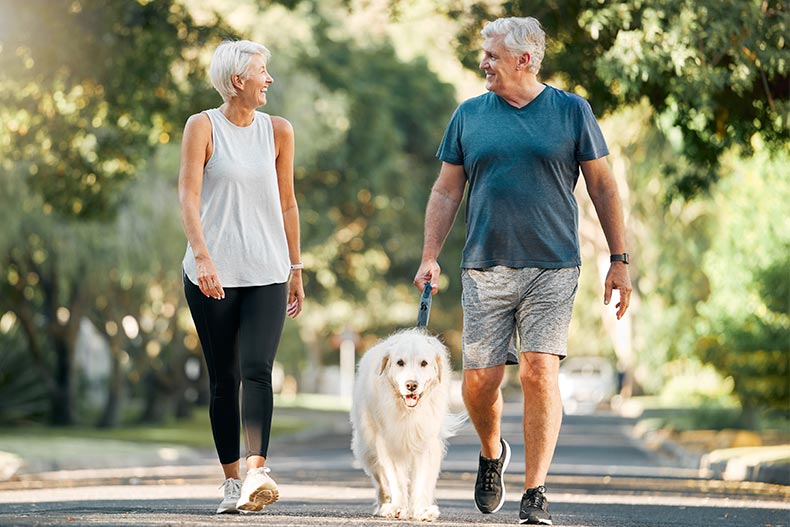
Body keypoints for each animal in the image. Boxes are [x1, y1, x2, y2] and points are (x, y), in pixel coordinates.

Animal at [352, 328, 464, 520]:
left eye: (424, 363)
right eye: (400, 363)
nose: (411, 385)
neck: (408, 412)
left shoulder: (426, 444)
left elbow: (422, 481)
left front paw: (422, 510)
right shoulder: (389, 444)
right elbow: (396, 480)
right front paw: (397, 508)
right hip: (368, 448)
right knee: (381, 480)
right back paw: (385, 505)